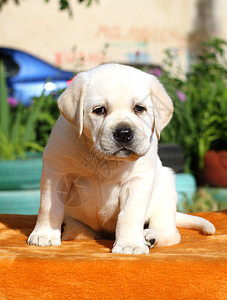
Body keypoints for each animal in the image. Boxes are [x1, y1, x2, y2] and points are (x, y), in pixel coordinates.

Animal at [27, 63, 215, 253]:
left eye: (139, 108)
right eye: (99, 110)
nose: (124, 133)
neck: (103, 159)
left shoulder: (138, 180)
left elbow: (129, 215)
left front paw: (130, 245)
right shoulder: (56, 173)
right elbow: (49, 207)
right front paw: (44, 234)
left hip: (166, 187)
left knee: (171, 231)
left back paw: (150, 236)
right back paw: (71, 229)